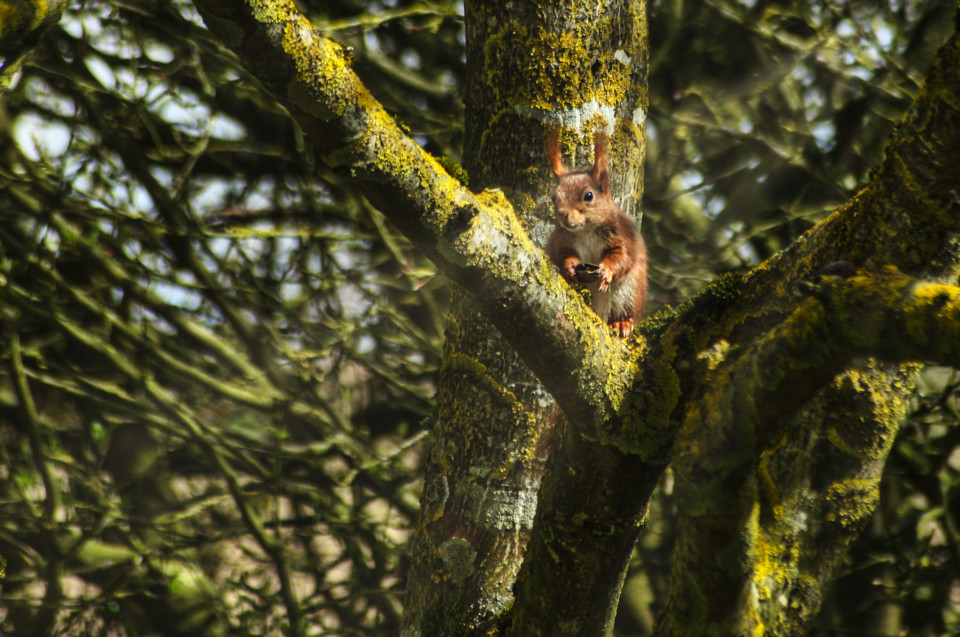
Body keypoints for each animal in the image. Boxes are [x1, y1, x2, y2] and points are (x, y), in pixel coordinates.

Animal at [544, 130, 648, 338]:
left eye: (589, 196)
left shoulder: (621, 236)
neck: (586, 231)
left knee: (625, 309)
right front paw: (569, 266)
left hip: (629, 291)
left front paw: (607, 271)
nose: (563, 215)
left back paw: (622, 323)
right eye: (554, 197)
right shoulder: (562, 241)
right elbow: (563, 255)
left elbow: (621, 257)